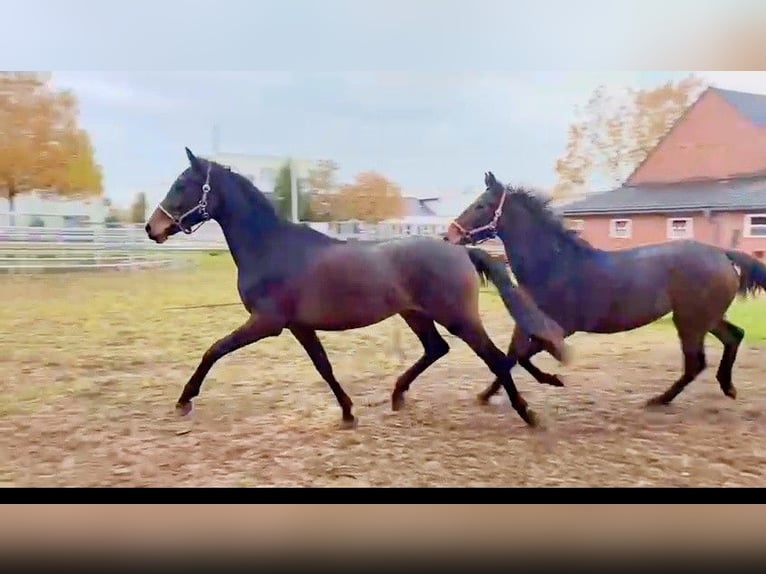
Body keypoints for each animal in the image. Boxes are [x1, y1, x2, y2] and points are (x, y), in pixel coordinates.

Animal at [145, 149, 569, 428]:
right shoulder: (299, 326)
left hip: (458, 318)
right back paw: (398, 395)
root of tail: (462, 251)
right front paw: (349, 412)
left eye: (182, 184)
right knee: (437, 349)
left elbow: (214, 350)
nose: (152, 228)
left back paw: (528, 413)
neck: (271, 248)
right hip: (416, 315)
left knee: (494, 357)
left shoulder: (266, 322)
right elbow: (323, 366)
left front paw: (184, 401)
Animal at [446, 171, 766, 409]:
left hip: (689, 321)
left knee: (695, 363)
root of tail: (722, 253)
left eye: (481, 205)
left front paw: (553, 380)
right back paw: (727, 387)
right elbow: (511, 356)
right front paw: (486, 395)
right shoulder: (528, 323)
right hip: (704, 318)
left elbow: (522, 356)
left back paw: (658, 400)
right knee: (733, 336)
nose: (449, 235)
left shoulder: (561, 328)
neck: (554, 265)